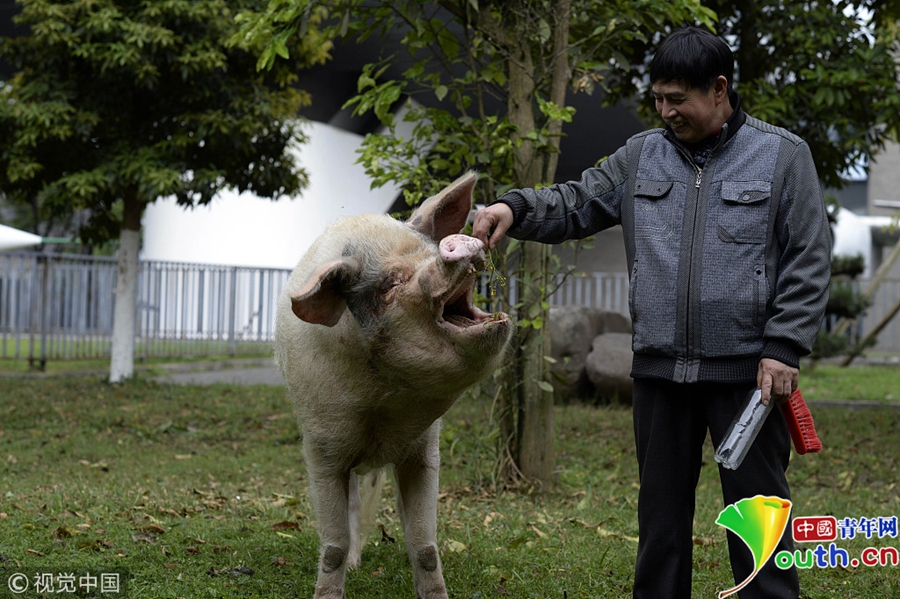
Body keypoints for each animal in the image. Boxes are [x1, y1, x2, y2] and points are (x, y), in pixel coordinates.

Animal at [272, 171, 512, 596]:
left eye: (428, 249)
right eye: (389, 284)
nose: (460, 242)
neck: (383, 408)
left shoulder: (425, 448)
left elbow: (425, 544)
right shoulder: (321, 448)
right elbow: (333, 544)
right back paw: (355, 566)